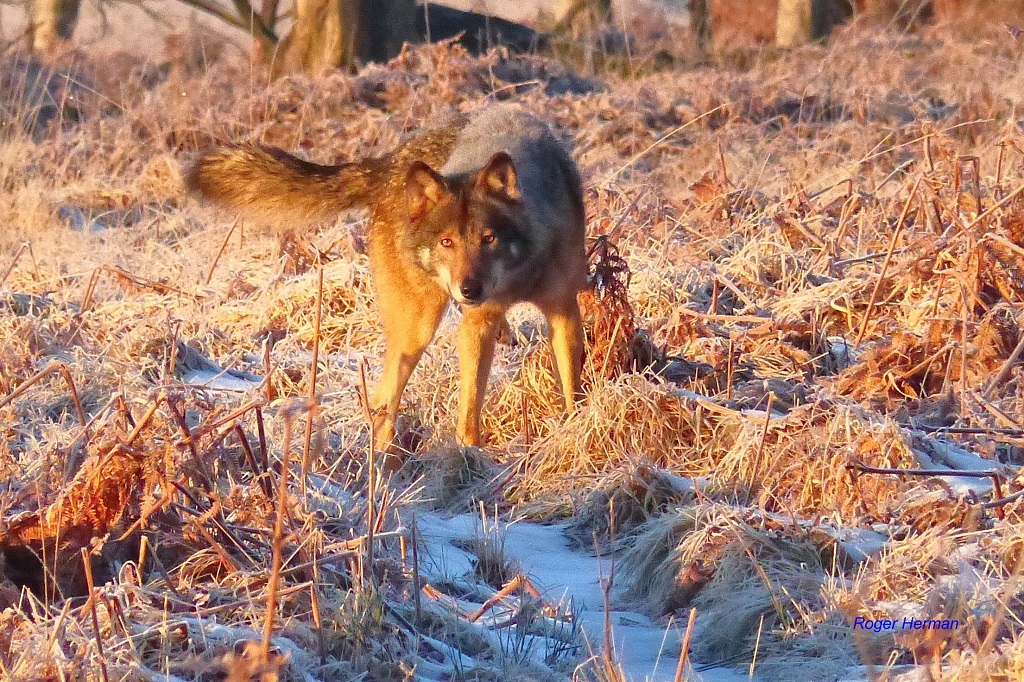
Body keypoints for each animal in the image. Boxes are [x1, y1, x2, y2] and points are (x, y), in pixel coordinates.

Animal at [186, 106, 587, 466]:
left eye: (488, 238)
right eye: (447, 242)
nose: (469, 290)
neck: (522, 273)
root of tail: (393, 162)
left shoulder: (564, 309)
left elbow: (572, 386)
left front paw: (571, 431)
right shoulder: (478, 323)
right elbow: (470, 405)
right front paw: (470, 456)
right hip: (417, 328)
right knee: (383, 400)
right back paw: (385, 465)